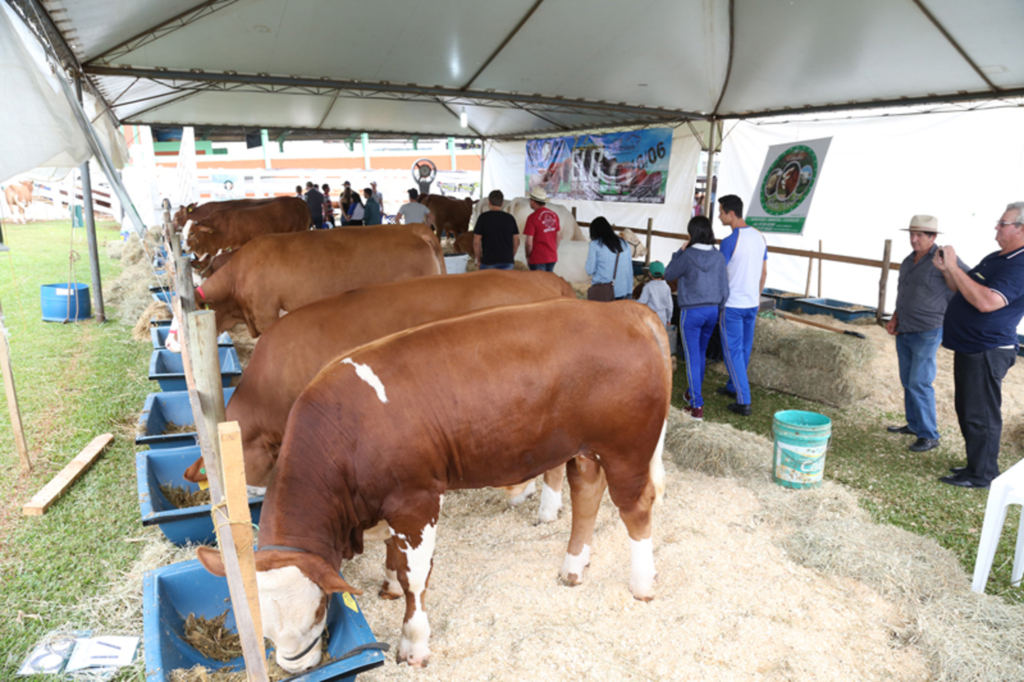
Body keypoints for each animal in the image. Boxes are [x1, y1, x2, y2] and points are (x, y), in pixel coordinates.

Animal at [197, 299, 671, 667]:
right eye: (261, 623)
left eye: (318, 611)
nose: (296, 666)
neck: (346, 431)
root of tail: (625, 310)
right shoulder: (388, 504)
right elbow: (395, 557)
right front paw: (388, 583)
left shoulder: (416, 500)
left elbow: (417, 578)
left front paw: (414, 643)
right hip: (584, 450)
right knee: (587, 493)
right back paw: (574, 566)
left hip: (626, 450)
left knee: (636, 508)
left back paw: (643, 584)